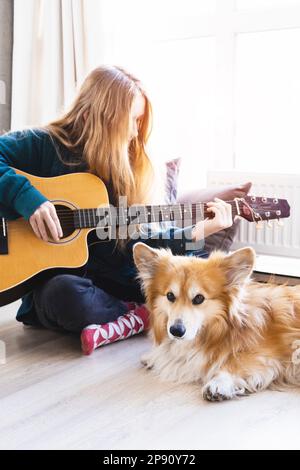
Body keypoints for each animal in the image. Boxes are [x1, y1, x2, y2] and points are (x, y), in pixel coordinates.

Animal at [132, 244, 300, 402]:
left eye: (199, 298)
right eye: (170, 296)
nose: (176, 331)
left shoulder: (269, 356)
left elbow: (235, 363)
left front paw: (219, 383)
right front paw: (152, 356)